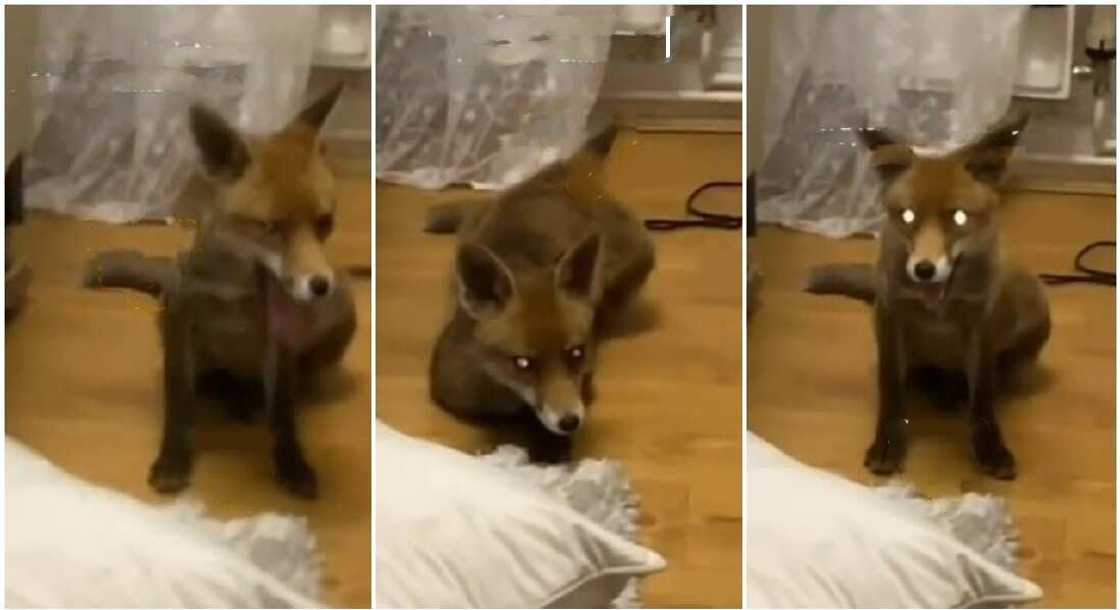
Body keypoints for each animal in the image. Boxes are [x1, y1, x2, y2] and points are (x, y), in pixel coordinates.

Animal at [84, 85, 357, 498]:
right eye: (271, 228)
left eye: (324, 222)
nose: (320, 285)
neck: (235, 291)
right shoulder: (181, 320)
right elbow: (178, 402)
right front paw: (172, 460)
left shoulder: (279, 341)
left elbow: (282, 413)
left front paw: (292, 463)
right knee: (218, 380)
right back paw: (230, 393)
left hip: (344, 312)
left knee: (294, 381)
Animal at [425, 125, 655, 442]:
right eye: (523, 363)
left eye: (575, 353)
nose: (570, 421)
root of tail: (564, 175)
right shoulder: (447, 387)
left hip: (638, 257)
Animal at [806, 111, 1050, 480]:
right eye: (908, 216)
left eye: (959, 217)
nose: (923, 269)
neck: (940, 310)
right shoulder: (890, 317)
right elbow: (891, 390)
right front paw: (887, 443)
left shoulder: (981, 323)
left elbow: (983, 398)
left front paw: (990, 446)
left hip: (1035, 302)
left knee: (997, 371)